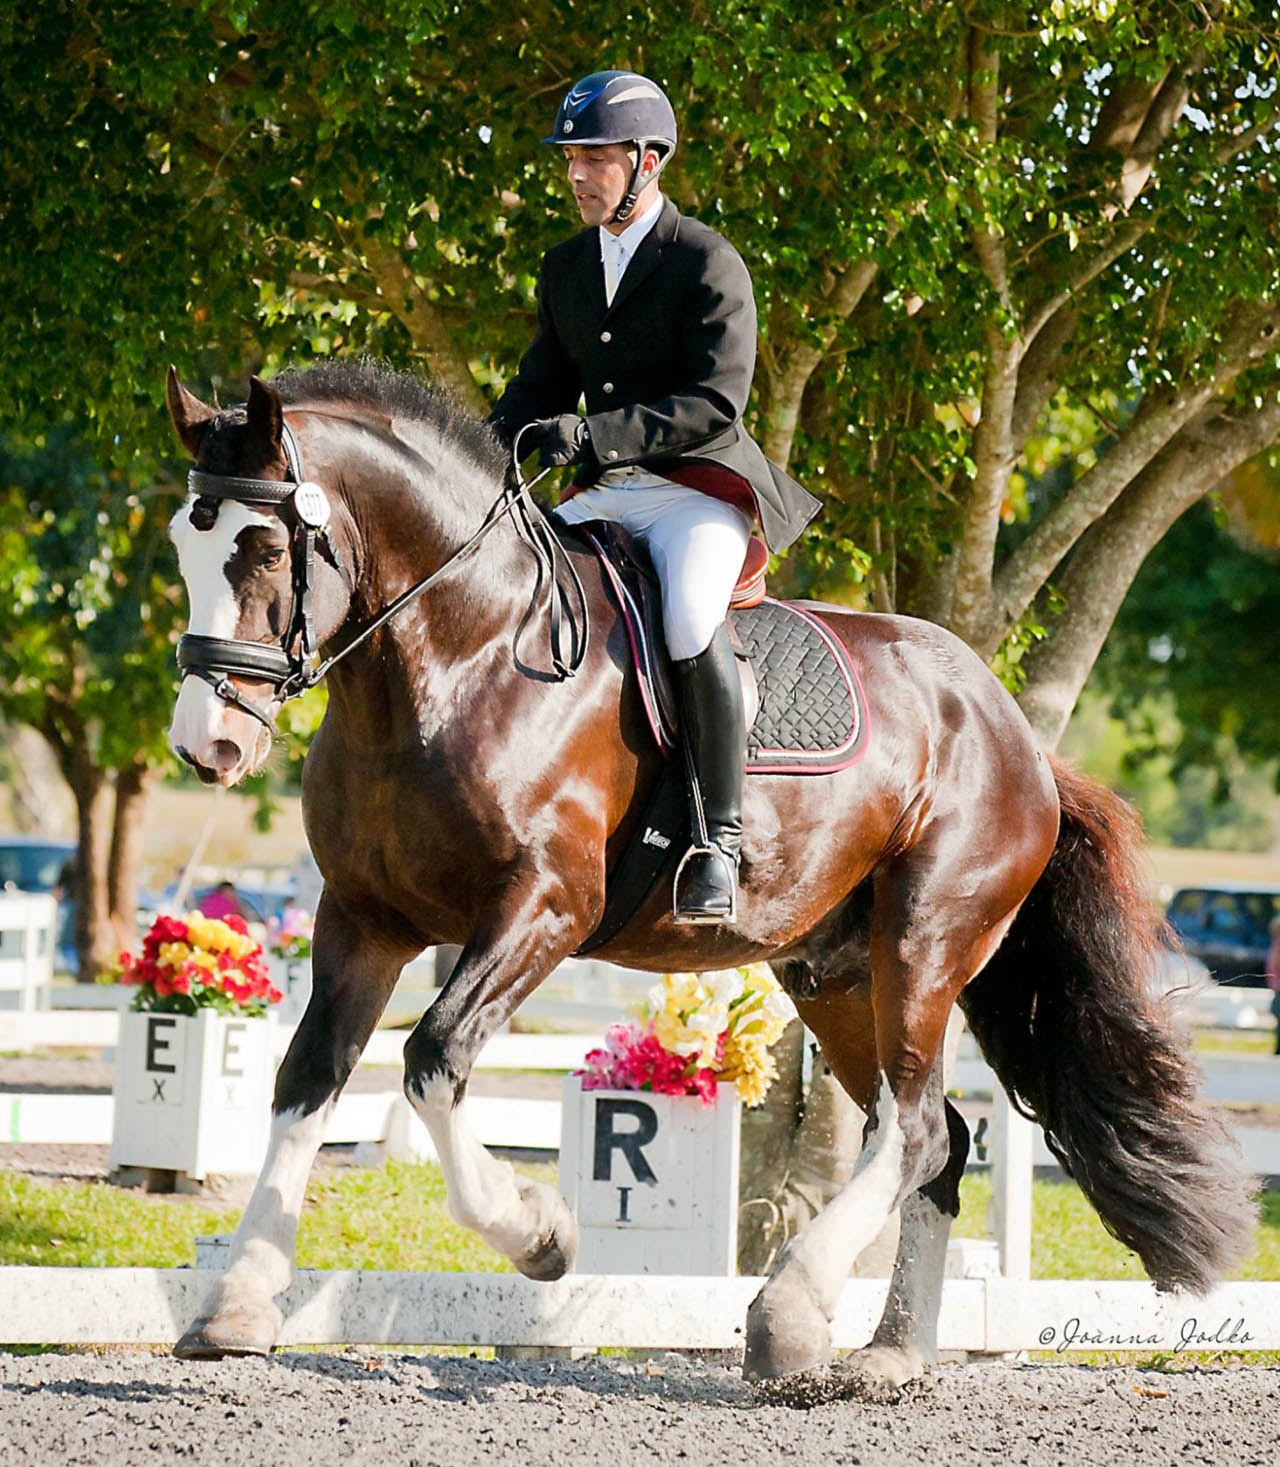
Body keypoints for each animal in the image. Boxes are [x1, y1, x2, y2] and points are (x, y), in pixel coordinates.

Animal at [159, 360, 1249, 1390]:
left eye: (264, 552)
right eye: (180, 544)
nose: (207, 746)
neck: (459, 658)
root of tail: (1011, 726)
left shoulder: (543, 909)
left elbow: (432, 1057)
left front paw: (542, 1234)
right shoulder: (362, 919)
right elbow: (308, 1079)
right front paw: (237, 1306)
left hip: (925, 941)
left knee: (908, 1127)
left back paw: (788, 1314)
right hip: (834, 972)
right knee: (932, 1136)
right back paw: (886, 1354)